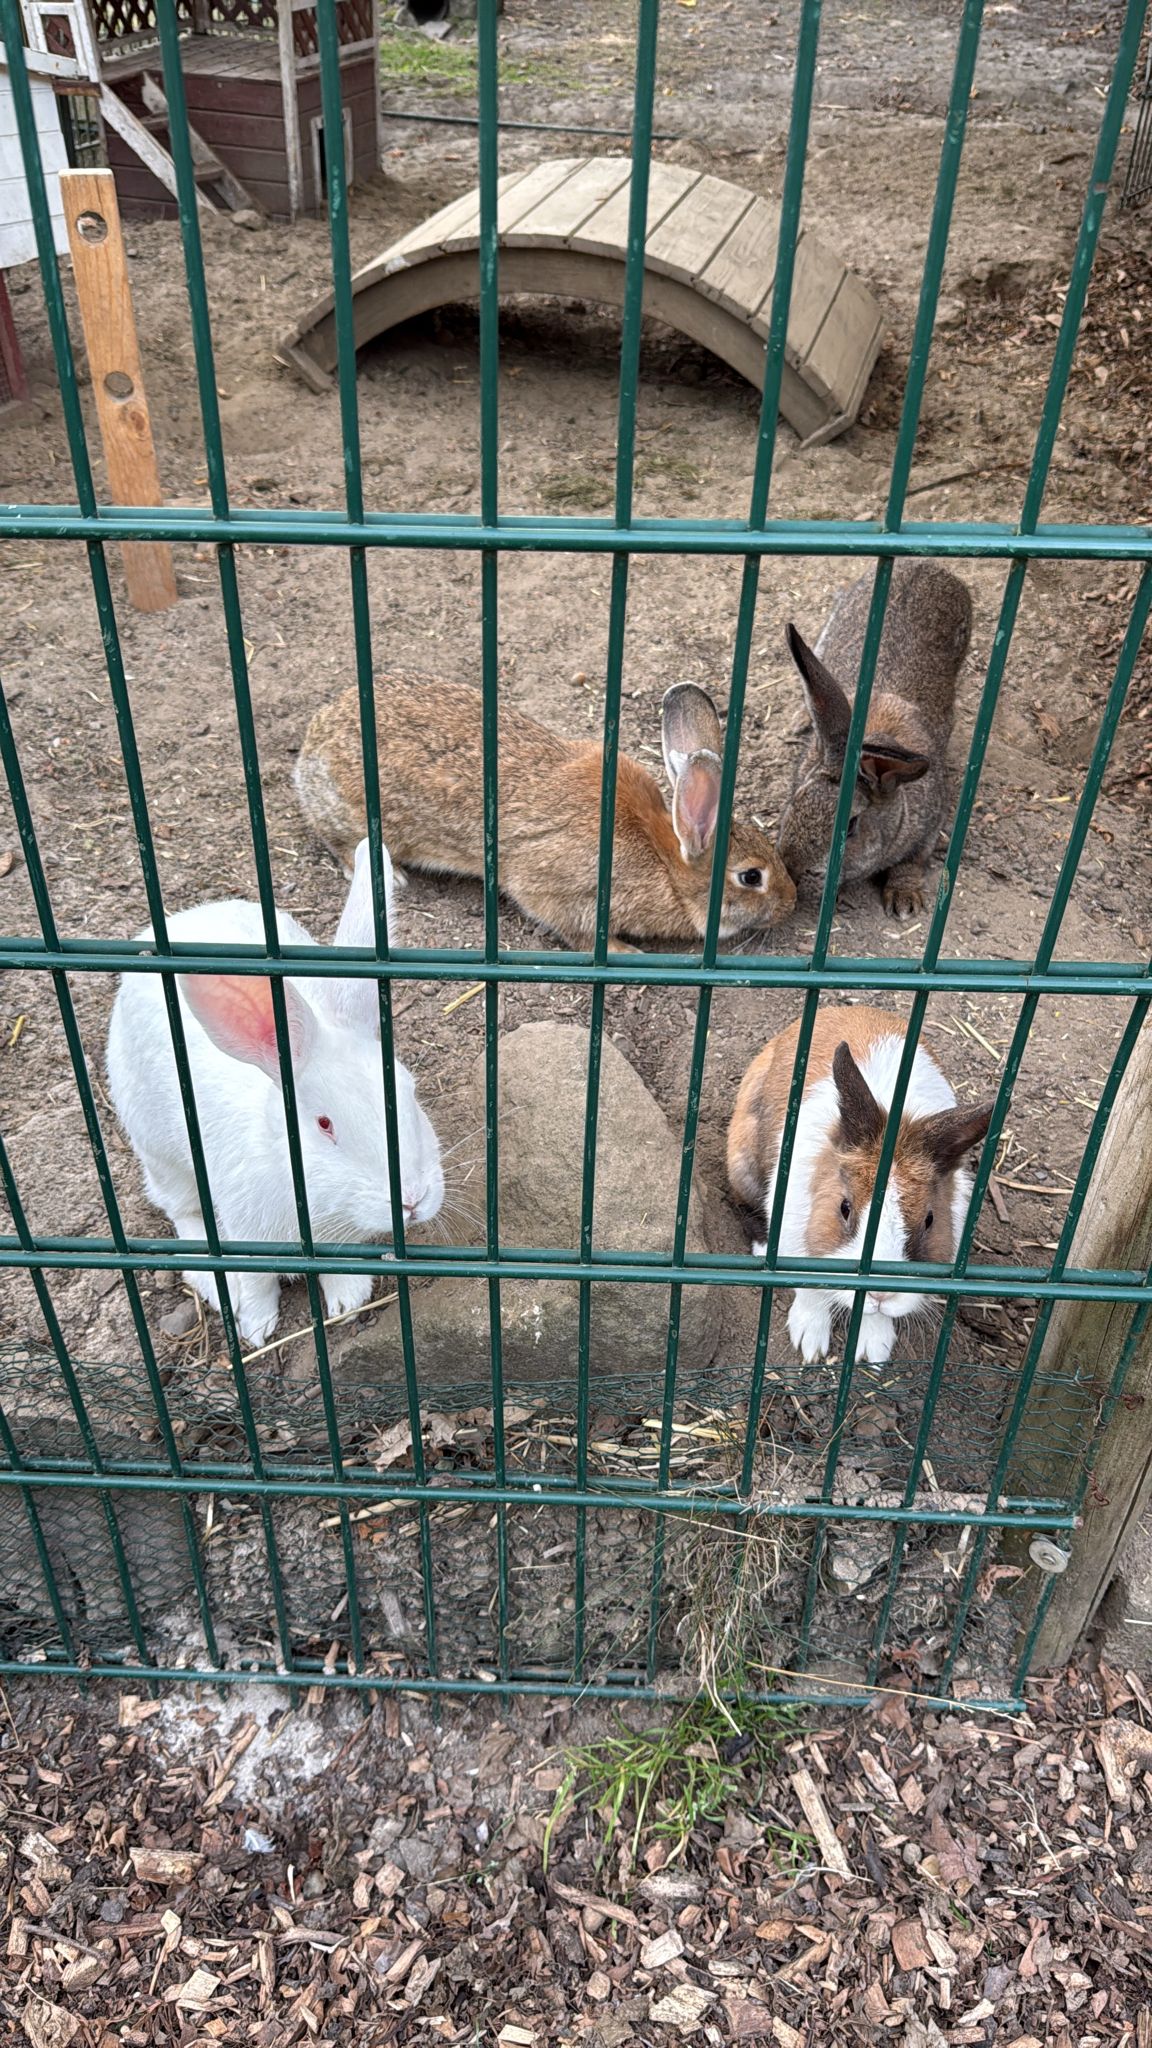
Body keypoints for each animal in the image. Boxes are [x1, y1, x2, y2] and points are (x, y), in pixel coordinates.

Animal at [107, 839, 443, 1349]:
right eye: (324, 1123)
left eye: (411, 1091)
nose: (412, 1200)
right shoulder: (245, 1229)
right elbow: (255, 1280)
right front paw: (256, 1328)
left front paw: (348, 1300)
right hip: (158, 1149)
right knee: (183, 1214)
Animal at [293, 676, 796, 951]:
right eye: (752, 876)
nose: (792, 904)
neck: (667, 864)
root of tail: (312, 744)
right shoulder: (558, 891)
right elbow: (572, 929)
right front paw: (624, 950)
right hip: (352, 812)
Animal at [727, 1005, 993, 1367]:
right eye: (845, 1208)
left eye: (930, 1220)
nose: (881, 1293)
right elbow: (809, 1289)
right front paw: (810, 1341)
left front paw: (875, 1347)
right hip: (743, 1163)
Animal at [777, 560, 972, 918]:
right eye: (796, 800)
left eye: (851, 826)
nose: (791, 866)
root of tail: (927, 564)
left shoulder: (928, 829)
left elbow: (911, 863)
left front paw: (904, 900)